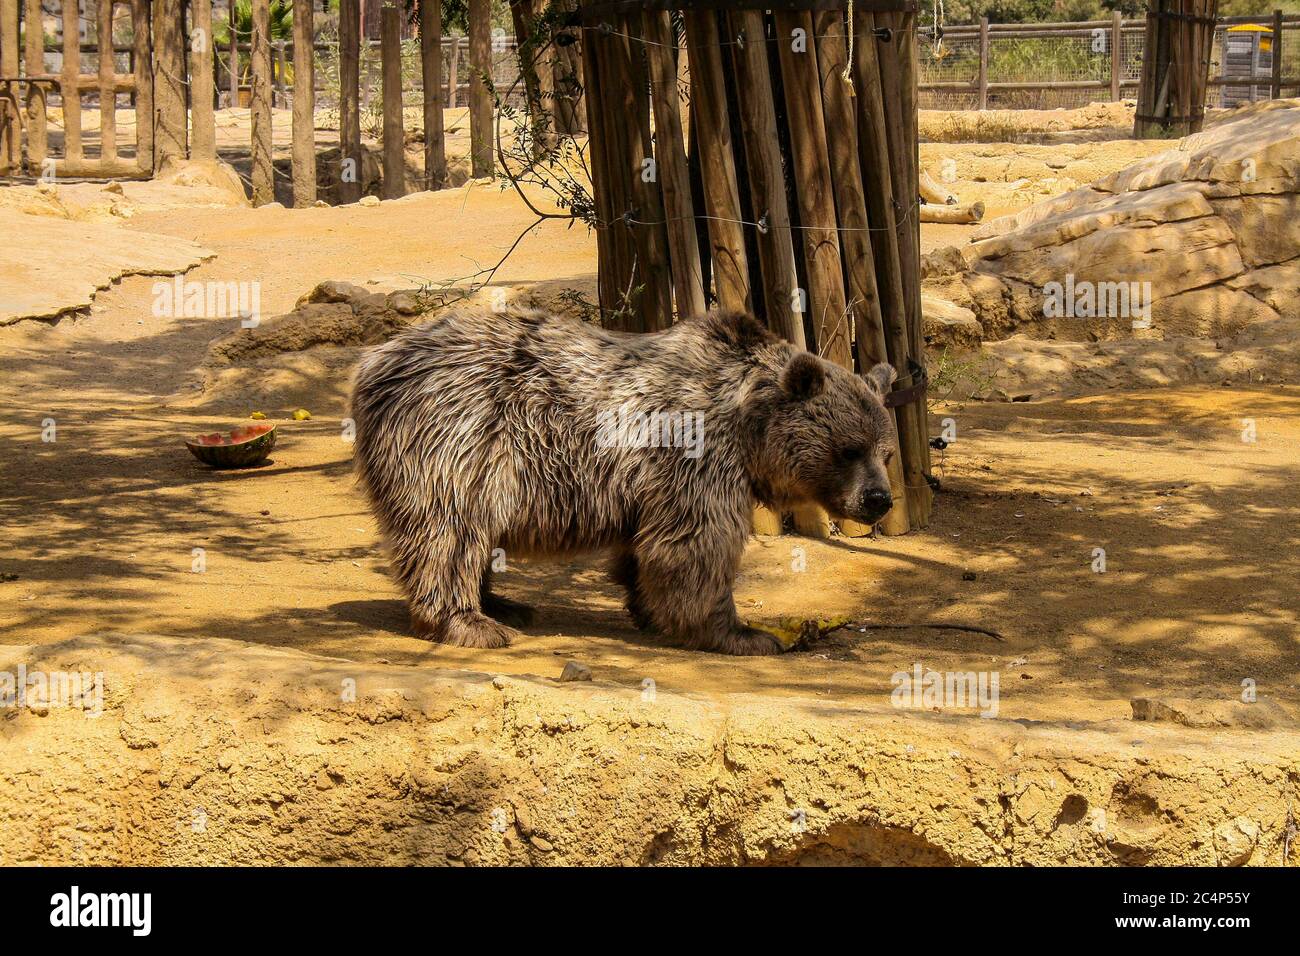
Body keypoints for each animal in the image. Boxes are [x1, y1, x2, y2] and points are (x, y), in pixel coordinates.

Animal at [356, 310, 904, 655]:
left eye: (885, 451)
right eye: (849, 448)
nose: (878, 499)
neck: (748, 427)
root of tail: (375, 361)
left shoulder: (654, 483)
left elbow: (647, 549)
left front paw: (650, 609)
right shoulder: (697, 457)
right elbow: (697, 545)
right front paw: (743, 634)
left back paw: (505, 605)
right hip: (461, 436)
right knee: (450, 530)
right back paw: (471, 622)